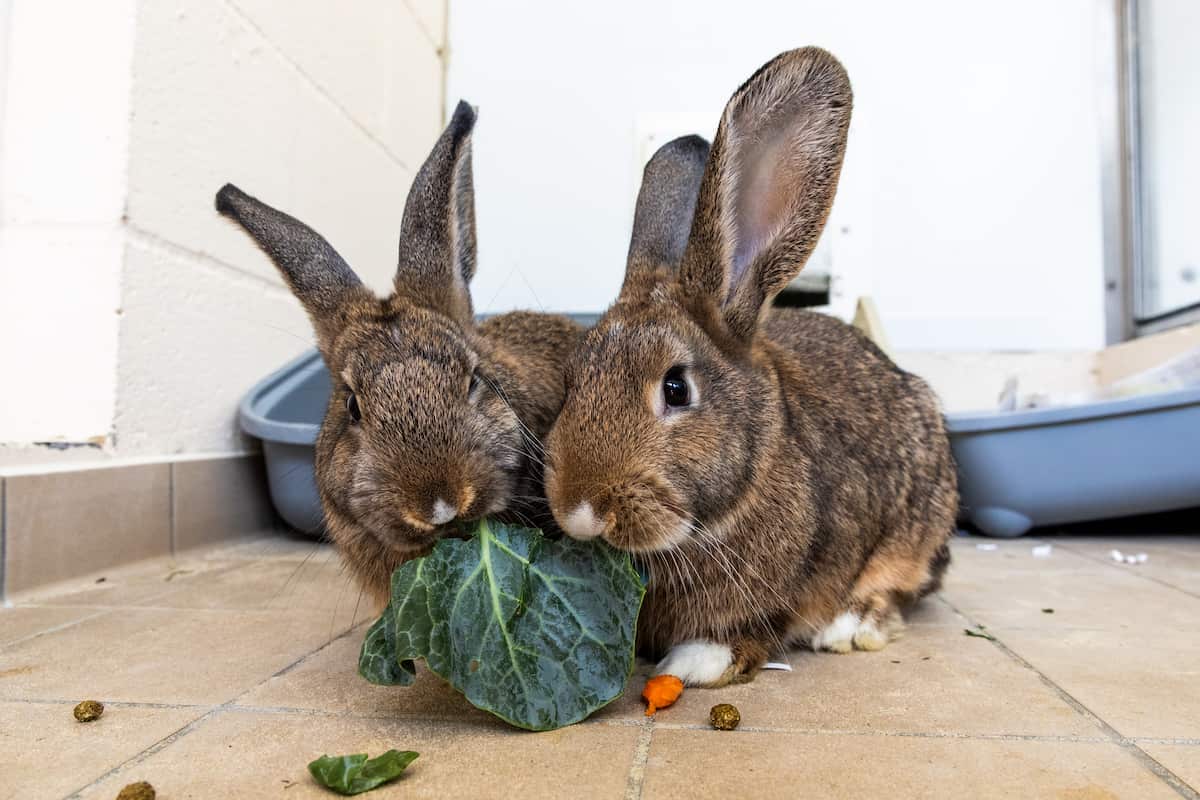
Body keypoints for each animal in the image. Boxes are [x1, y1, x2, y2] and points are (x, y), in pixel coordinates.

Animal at [544, 48, 956, 688]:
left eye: (676, 388)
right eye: (571, 381)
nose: (580, 512)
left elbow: (749, 632)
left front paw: (693, 663)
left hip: (918, 529)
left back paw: (850, 626)